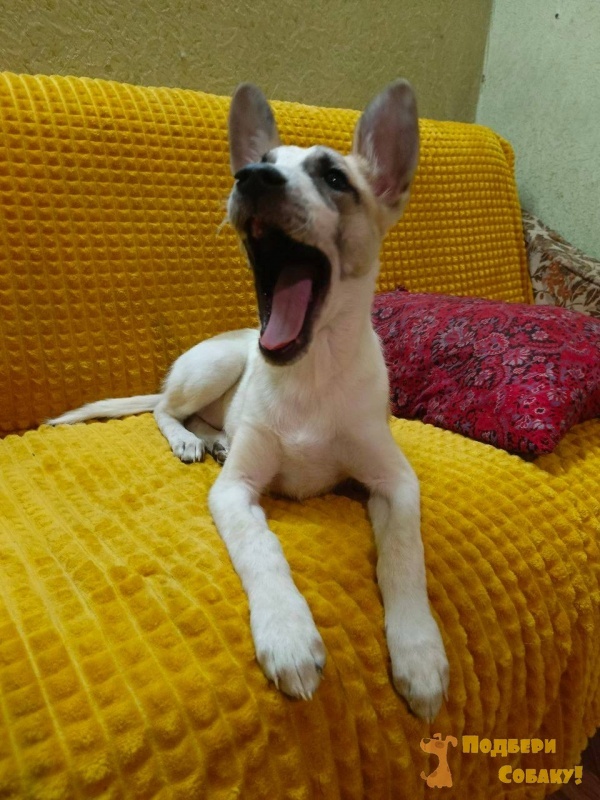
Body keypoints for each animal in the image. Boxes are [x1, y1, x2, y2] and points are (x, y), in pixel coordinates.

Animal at [49, 80, 449, 722]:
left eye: (334, 178)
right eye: (259, 162)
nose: (252, 179)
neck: (311, 372)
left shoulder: (396, 481)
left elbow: (405, 555)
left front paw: (419, 654)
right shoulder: (234, 491)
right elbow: (261, 548)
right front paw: (288, 634)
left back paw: (211, 438)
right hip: (215, 364)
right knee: (165, 409)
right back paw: (189, 440)